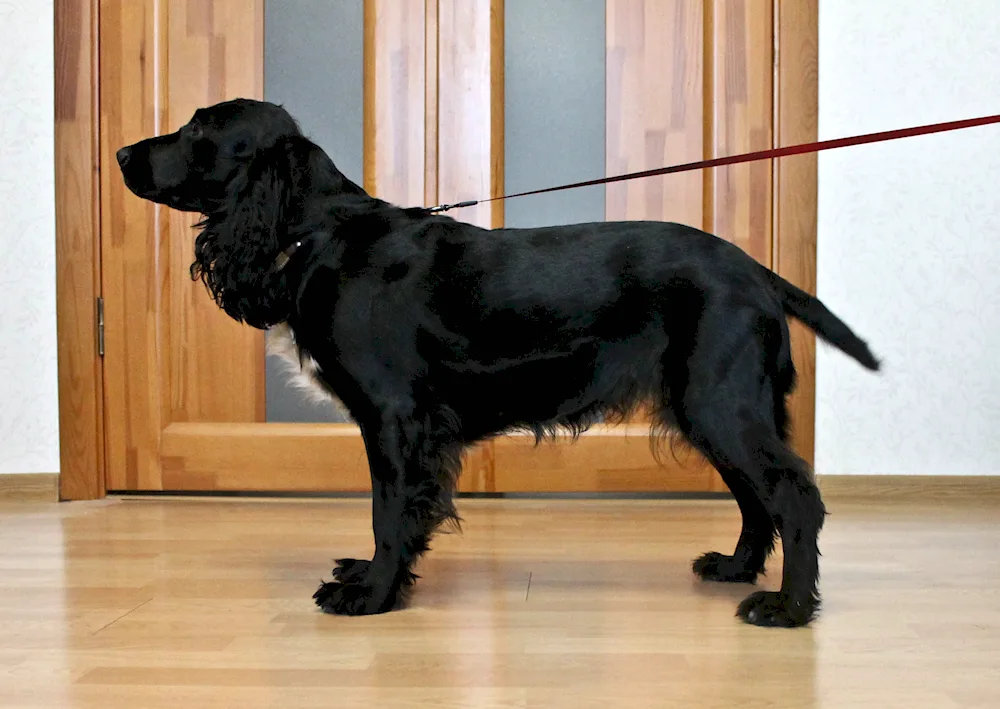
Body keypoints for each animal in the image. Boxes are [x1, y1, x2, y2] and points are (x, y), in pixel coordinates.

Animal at [117, 98, 880, 624]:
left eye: (198, 132)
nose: (122, 153)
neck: (325, 232)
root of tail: (756, 270)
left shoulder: (396, 416)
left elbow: (389, 512)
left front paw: (372, 593)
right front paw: (371, 577)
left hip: (720, 403)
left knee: (794, 496)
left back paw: (788, 608)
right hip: (714, 409)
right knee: (758, 496)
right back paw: (737, 569)